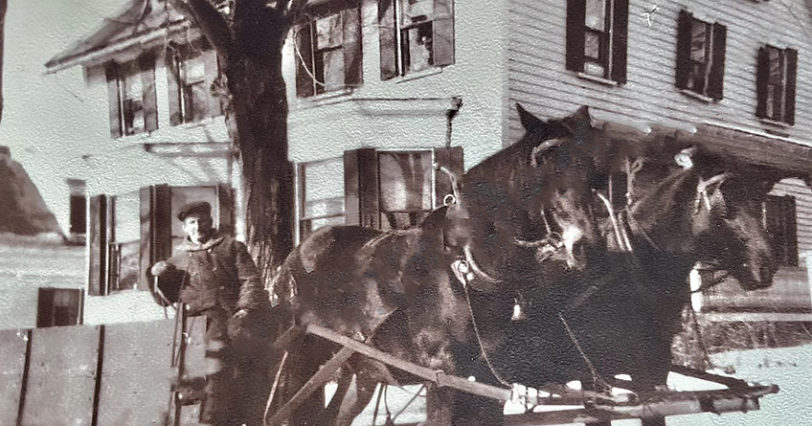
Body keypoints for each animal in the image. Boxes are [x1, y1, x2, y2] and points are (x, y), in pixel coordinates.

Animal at [270, 105, 604, 424]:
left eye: (591, 168)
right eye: (543, 165)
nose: (585, 243)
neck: (464, 267)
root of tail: (291, 260)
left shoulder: (485, 380)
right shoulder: (442, 374)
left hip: (359, 371)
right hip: (301, 360)